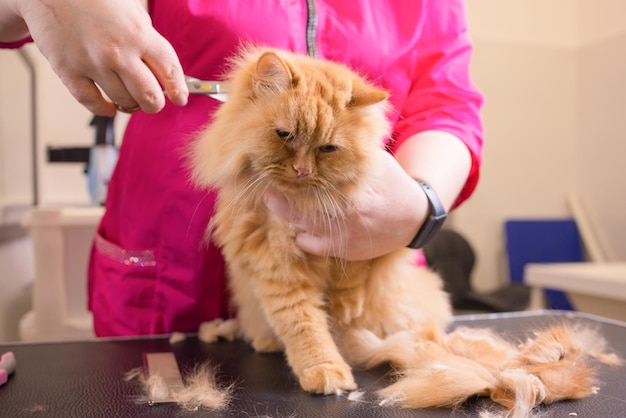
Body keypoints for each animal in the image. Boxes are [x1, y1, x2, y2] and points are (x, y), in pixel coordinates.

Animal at [188, 47, 616, 416]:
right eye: (285, 136)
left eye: (326, 148)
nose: (302, 170)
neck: (303, 204)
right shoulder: (275, 268)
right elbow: (305, 327)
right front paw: (325, 368)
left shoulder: (356, 239)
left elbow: (349, 281)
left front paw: (347, 310)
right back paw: (263, 339)